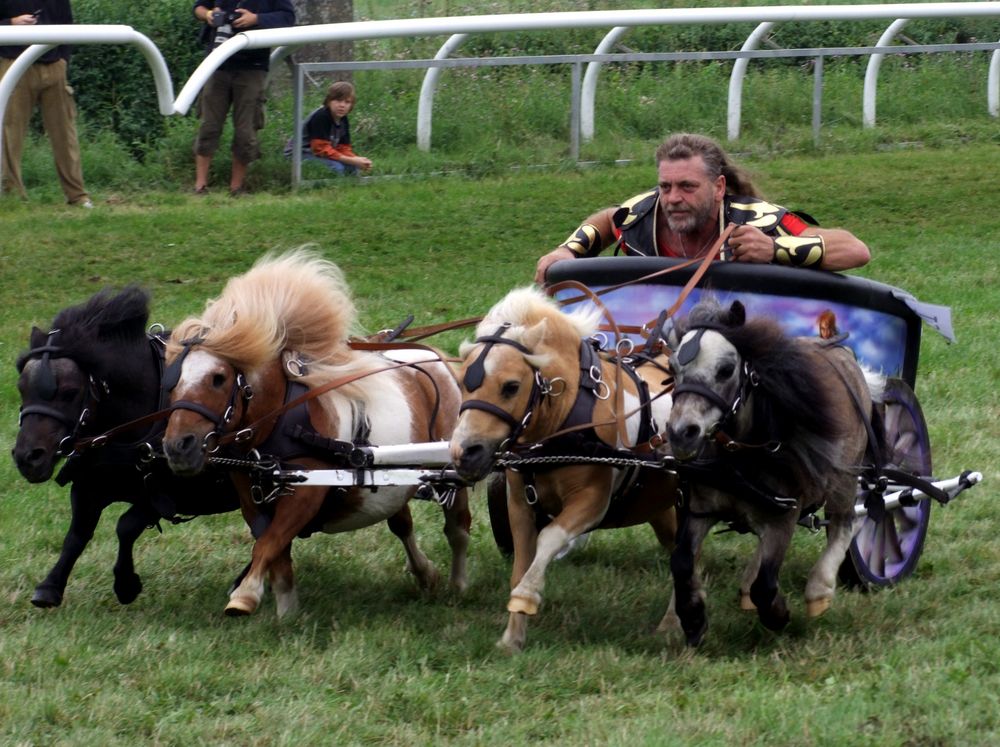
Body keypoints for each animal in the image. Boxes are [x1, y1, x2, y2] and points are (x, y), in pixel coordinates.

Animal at [12, 286, 238, 608]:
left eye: (69, 392)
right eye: (21, 388)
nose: (27, 457)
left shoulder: (172, 493)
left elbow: (126, 525)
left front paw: (126, 583)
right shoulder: (89, 486)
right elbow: (77, 534)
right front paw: (50, 585)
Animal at [161, 251, 472, 620]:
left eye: (218, 378)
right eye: (171, 381)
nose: (177, 447)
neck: (278, 421)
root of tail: (434, 357)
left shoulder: (308, 491)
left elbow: (270, 543)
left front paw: (245, 595)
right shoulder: (251, 501)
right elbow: (276, 553)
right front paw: (287, 612)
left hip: (453, 468)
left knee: (458, 528)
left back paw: (458, 584)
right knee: (402, 523)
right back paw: (425, 574)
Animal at [452, 288, 680, 656]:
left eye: (511, 386)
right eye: (461, 383)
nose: (465, 453)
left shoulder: (592, 502)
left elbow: (550, 538)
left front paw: (528, 596)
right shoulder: (519, 504)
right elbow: (521, 563)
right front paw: (513, 636)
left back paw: (675, 622)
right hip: (660, 505)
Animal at [668, 300, 880, 644]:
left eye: (725, 370)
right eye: (673, 368)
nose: (681, 433)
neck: (740, 459)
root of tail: (838, 348)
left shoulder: (784, 515)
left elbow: (766, 586)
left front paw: (779, 615)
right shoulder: (701, 509)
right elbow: (683, 561)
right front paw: (693, 618)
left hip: (845, 476)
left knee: (845, 523)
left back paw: (819, 589)